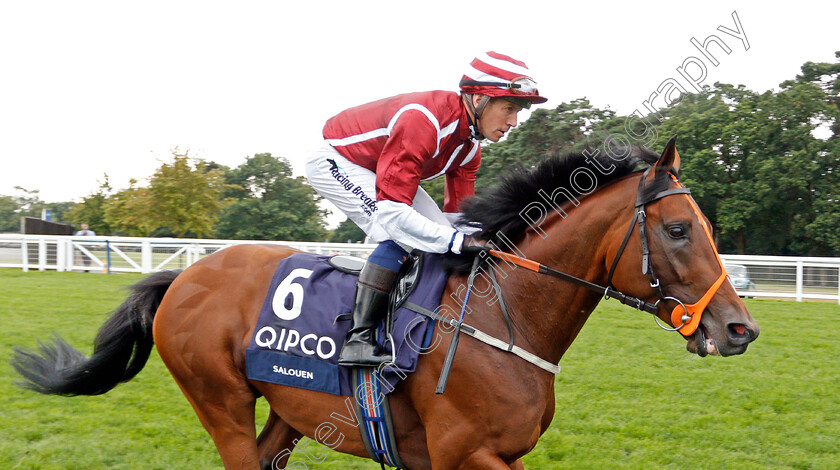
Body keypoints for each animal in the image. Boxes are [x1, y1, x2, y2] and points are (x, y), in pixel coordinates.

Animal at [13, 138, 760, 468]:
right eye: (677, 229)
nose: (739, 328)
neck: (504, 315)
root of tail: (184, 278)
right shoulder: (465, 454)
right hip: (219, 401)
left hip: (289, 409)